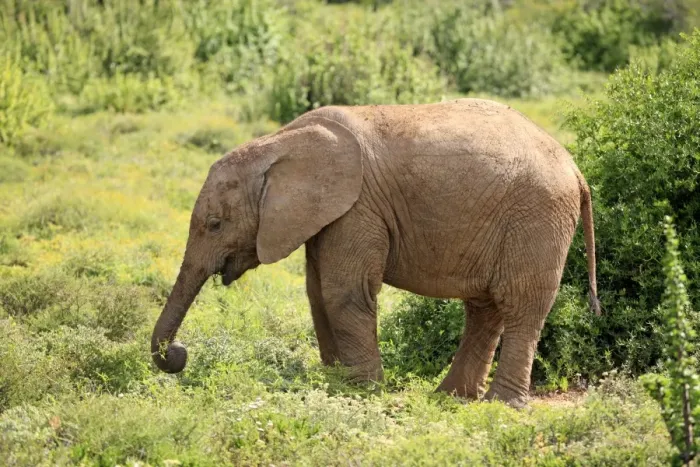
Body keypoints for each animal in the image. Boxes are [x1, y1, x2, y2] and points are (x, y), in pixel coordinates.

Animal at [150, 98, 600, 408]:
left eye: (215, 224)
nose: (178, 355)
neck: (277, 143)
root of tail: (576, 169)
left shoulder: (357, 207)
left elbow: (343, 293)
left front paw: (364, 392)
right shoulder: (332, 213)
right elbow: (317, 293)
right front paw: (334, 385)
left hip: (536, 216)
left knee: (520, 303)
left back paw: (501, 406)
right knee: (485, 308)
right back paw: (450, 398)